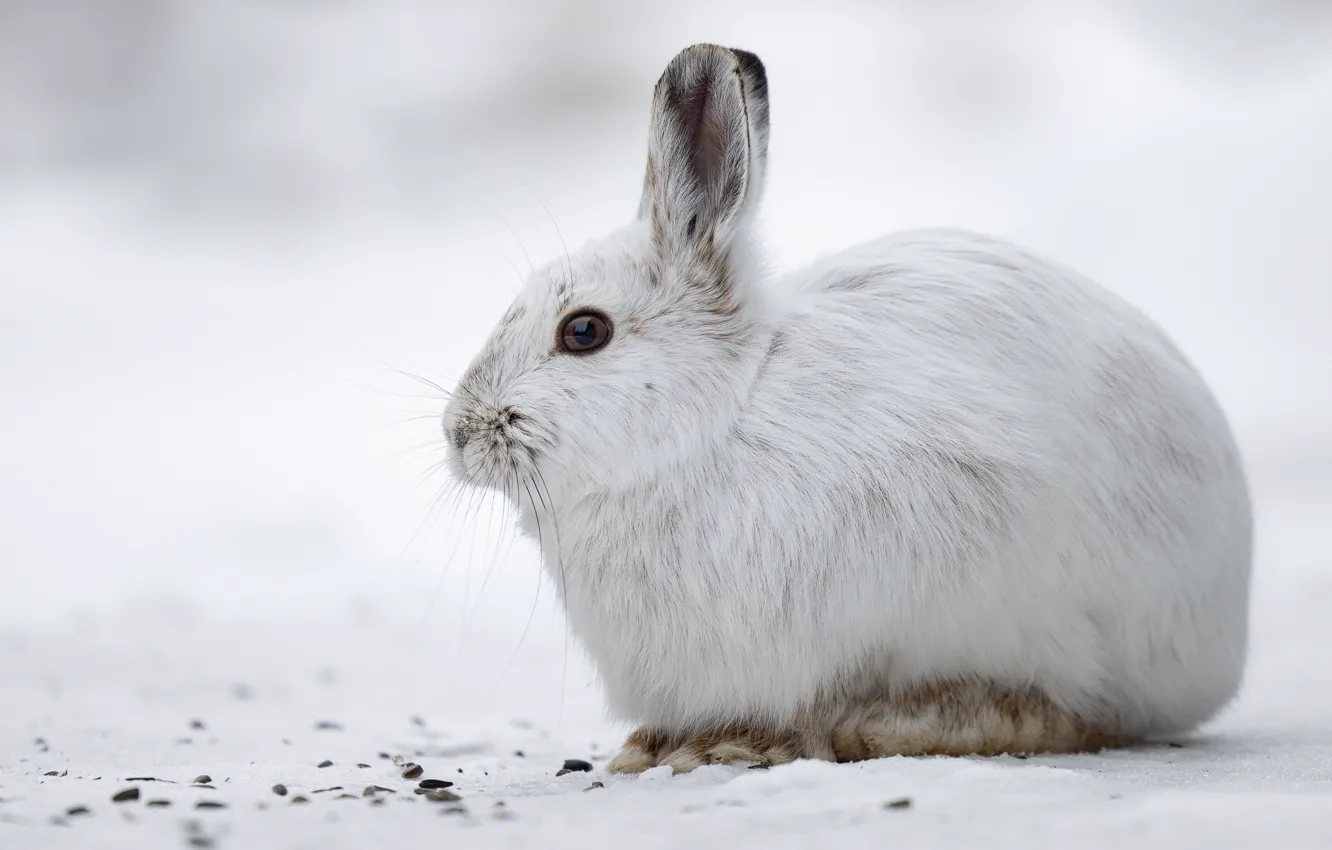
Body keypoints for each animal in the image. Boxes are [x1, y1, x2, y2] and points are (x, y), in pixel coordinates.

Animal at [441, 43, 1252, 774]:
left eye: (584, 331)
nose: (459, 434)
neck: (710, 429)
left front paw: (734, 744)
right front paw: (652, 745)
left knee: (1077, 713)